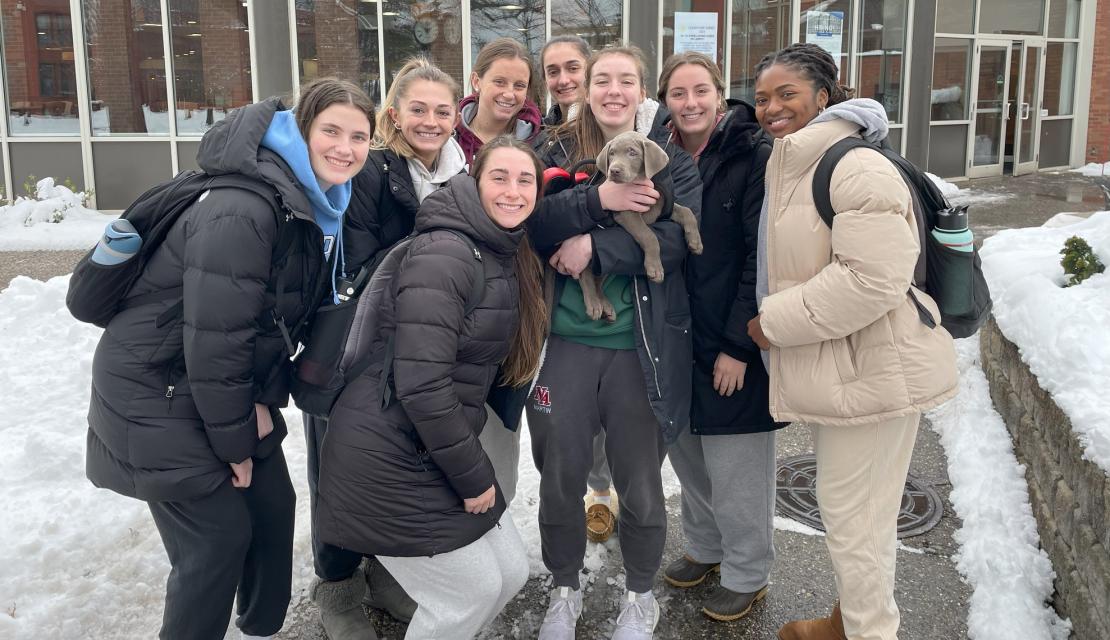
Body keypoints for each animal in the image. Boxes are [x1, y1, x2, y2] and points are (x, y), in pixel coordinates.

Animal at [577, 130, 697, 321]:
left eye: (632, 153)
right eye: (611, 153)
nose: (614, 171)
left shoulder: (662, 207)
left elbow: (686, 211)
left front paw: (696, 242)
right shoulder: (627, 213)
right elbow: (649, 236)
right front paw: (655, 269)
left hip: (606, 264)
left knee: (598, 279)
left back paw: (605, 306)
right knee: (586, 274)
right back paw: (594, 304)